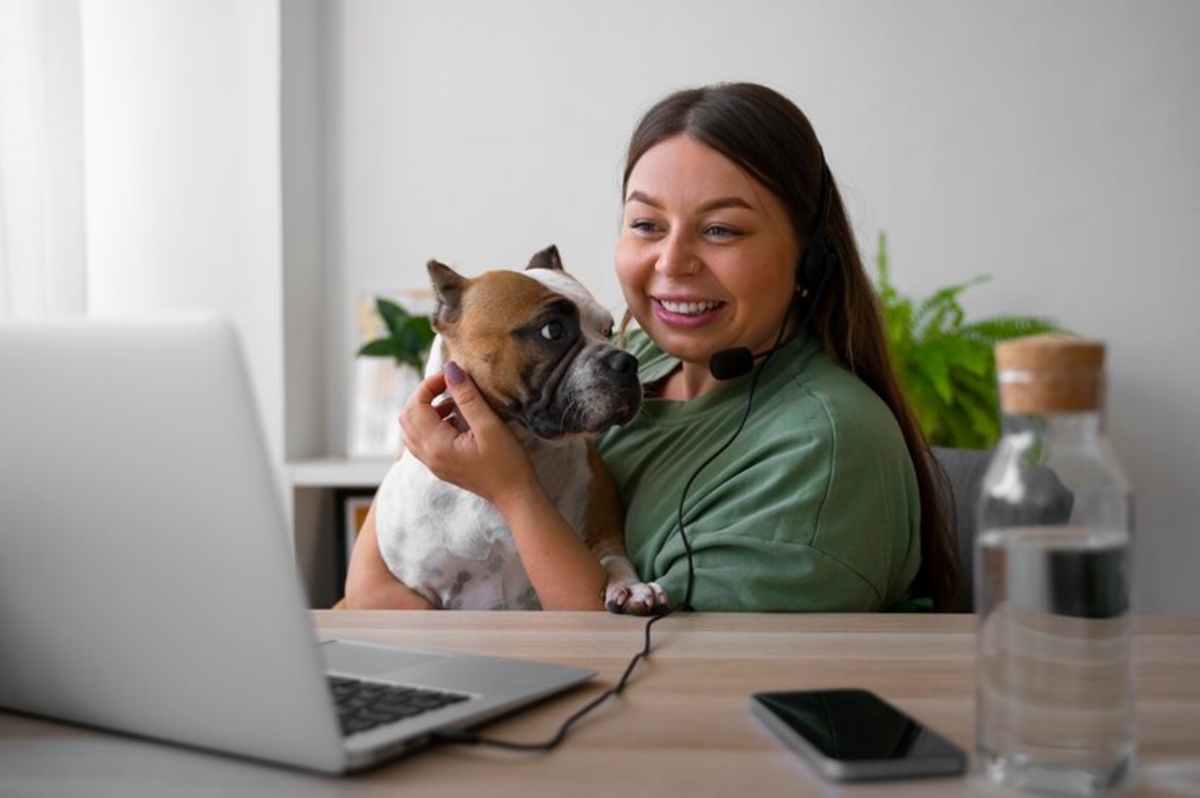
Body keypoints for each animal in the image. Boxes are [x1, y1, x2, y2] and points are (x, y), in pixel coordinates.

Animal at [372, 246, 667, 612]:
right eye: (553, 331)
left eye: (608, 329)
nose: (627, 361)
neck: (526, 443)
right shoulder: (418, 587)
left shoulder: (603, 534)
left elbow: (615, 561)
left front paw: (631, 587)